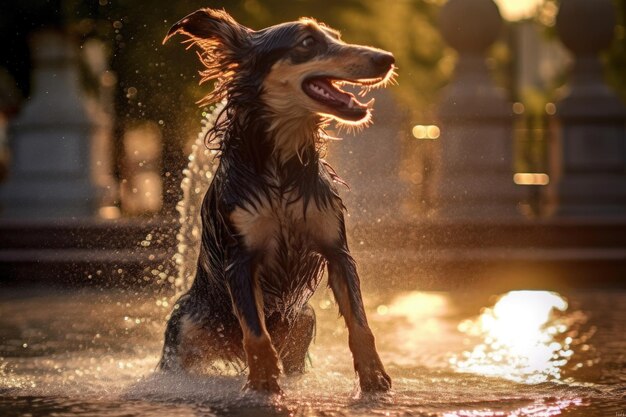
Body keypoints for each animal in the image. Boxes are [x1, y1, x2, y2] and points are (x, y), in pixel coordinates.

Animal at [158, 7, 392, 394]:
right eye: (308, 42)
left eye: (337, 37)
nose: (386, 58)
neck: (280, 167)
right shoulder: (241, 260)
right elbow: (255, 331)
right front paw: (264, 383)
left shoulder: (337, 251)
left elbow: (360, 322)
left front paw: (374, 377)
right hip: (186, 330)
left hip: (303, 321)